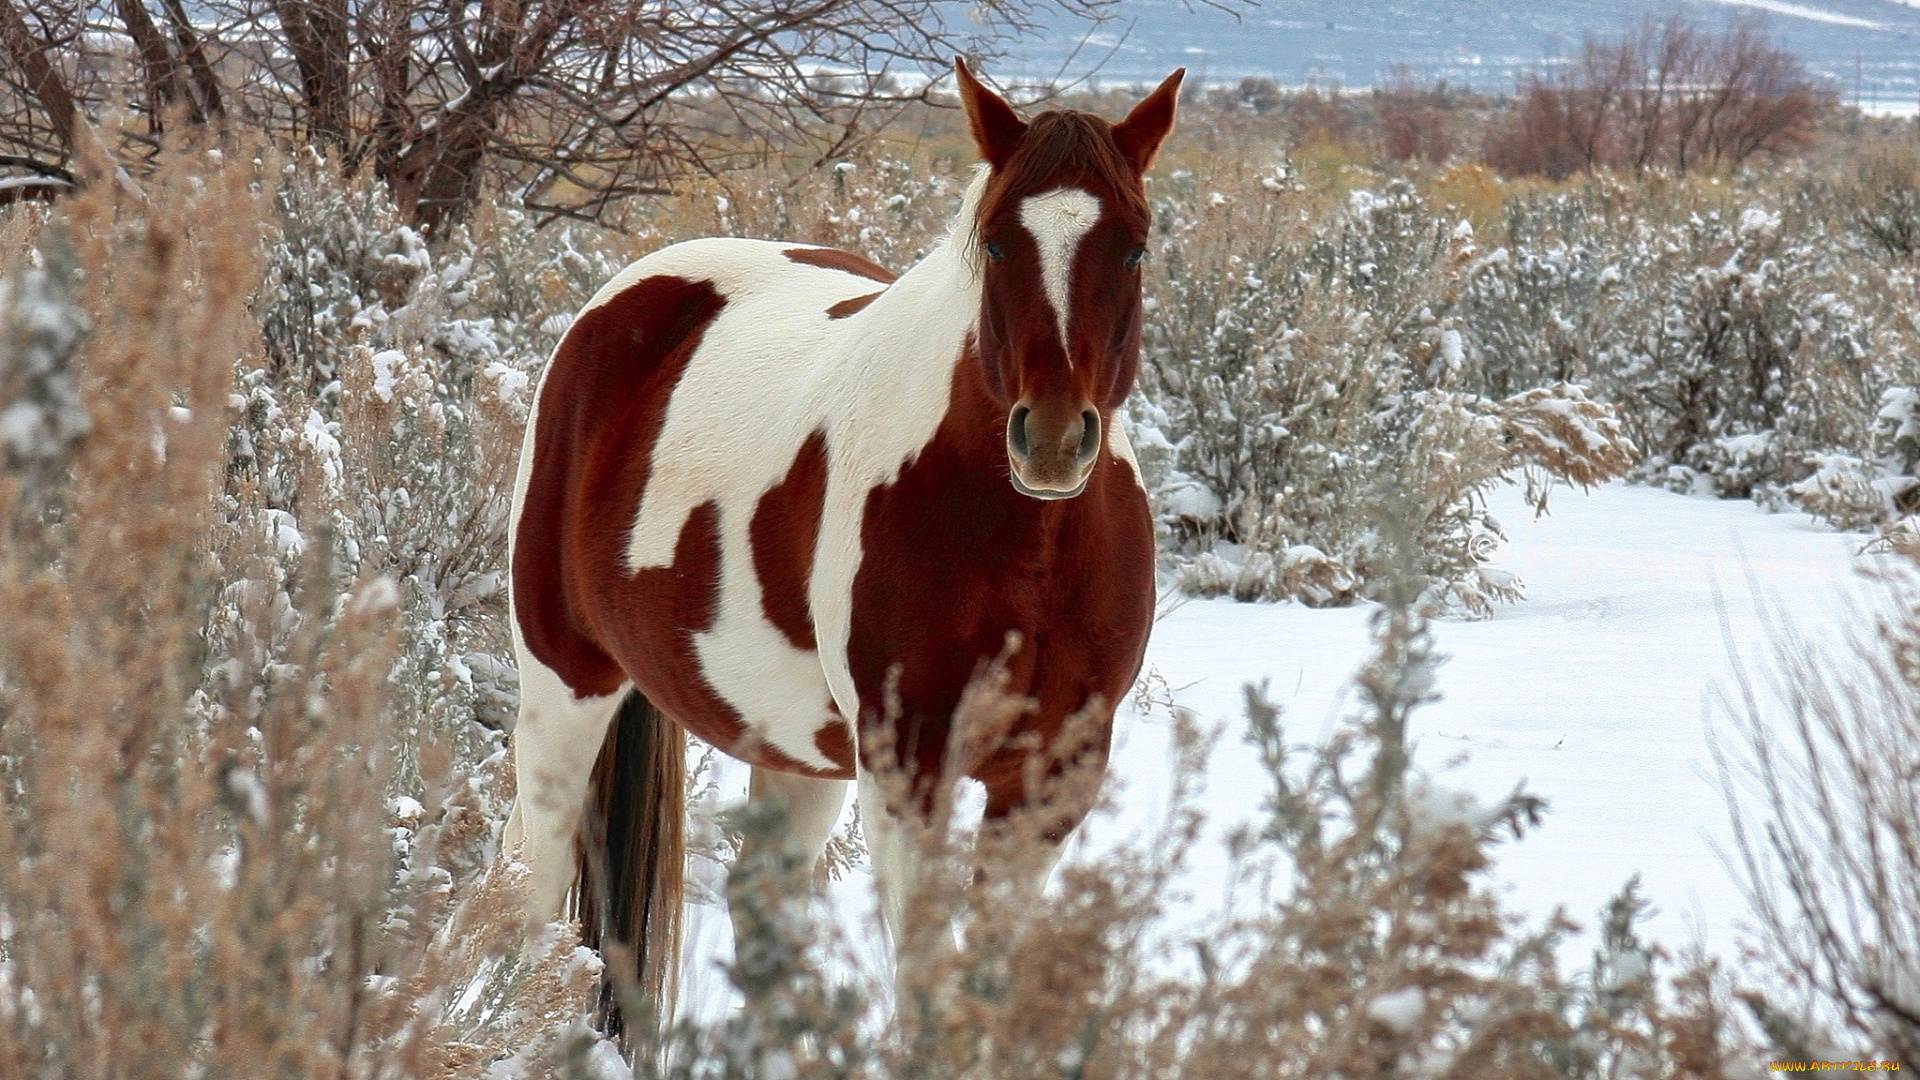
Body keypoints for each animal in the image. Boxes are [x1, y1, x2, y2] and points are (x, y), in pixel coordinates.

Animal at [503, 61, 1175, 1022]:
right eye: (997, 245)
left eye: (1133, 248)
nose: (1050, 438)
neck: (1024, 541)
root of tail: (624, 300)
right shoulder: (908, 771)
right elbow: (926, 985)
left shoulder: (1051, 776)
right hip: (565, 685)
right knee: (535, 884)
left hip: (795, 751)